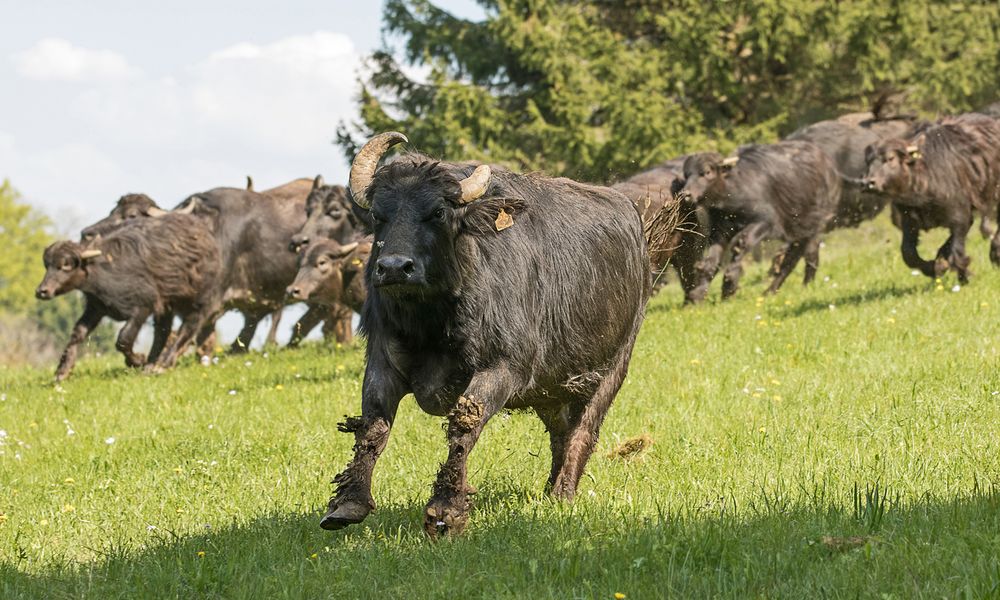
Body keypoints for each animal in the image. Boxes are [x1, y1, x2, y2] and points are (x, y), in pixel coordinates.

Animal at [38, 213, 222, 378]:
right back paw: (150, 365)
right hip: (166, 304)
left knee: (189, 327)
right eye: (47, 265)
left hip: (198, 299)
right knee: (162, 331)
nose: (42, 291)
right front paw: (62, 371)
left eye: (66, 265)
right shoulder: (96, 308)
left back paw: (163, 364)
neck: (105, 270)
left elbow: (123, 338)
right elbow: (78, 333)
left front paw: (137, 360)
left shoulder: (143, 306)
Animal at [322, 134, 656, 536]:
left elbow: (464, 426)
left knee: (583, 432)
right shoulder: (382, 364)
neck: (432, 320)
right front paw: (348, 503)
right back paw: (549, 490)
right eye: (377, 216)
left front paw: (445, 511)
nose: (394, 268)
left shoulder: (503, 368)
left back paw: (563, 494)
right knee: (560, 433)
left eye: (439, 213)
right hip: (552, 388)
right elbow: (372, 426)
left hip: (613, 367)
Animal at [676, 141, 840, 300]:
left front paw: (729, 285)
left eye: (707, 172)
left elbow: (741, 244)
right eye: (687, 175)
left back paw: (779, 289)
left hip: (812, 224)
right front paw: (698, 294)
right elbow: (711, 261)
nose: (686, 194)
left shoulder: (766, 222)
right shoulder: (721, 230)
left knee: (797, 256)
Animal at [860, 112, 1000, 282]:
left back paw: (995, 253)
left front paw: (963, 275)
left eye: (890, 158)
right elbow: (908, 254)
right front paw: (935, 267)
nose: (868, 183)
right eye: (868, 162)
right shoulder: (909, 222)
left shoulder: (959, 216)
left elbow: (957, 249)